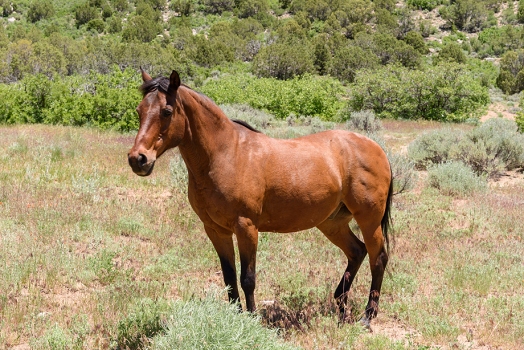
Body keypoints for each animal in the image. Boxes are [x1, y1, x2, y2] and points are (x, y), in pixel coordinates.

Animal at [128, 69, 392, 326]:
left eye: (166, 111)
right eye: (139, 110)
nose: (138, 159)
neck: (225, 154)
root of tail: (376, 147)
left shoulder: (246, 228)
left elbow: (248, 278)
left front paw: (252, 320)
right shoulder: (216, 230)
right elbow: (229, 277)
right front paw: (234, 318)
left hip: (368, 219)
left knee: (378, 257)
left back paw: (367, 316)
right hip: (332, 223)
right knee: (357, 252)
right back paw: (341, 309)